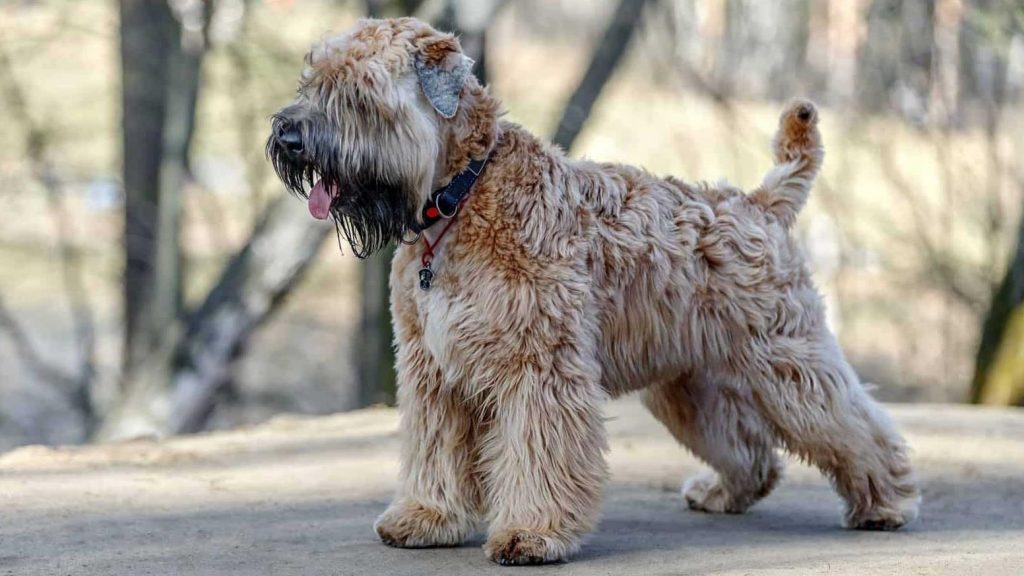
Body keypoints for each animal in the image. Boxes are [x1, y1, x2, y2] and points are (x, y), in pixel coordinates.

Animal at [266, 16, 921, 561]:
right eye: (312, 79)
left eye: (358, 92)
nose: (289, 137)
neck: (459, 199)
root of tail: (760, 203)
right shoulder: (434, 372)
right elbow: (436, 451)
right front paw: (427, 516)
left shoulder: (539, 368)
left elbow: (538, 455)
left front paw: (532, 534)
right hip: (690, 384)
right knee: (750, 449)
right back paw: (722, 492)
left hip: (789, 364)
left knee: (854, 426)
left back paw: (886, 503)